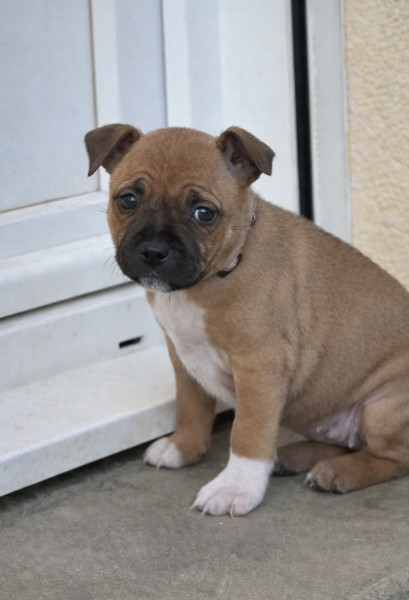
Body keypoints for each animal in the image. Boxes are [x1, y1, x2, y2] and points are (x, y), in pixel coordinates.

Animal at [85, 124, 409, 516]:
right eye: (128, 200)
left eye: (204, 213)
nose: (153, 252)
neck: (216, 275)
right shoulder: (183, 357)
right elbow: (190, 406)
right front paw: (183, 447)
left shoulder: (260, 366)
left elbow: (248, 433)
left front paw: (236, 487)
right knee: (347, 442)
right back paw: (295, 456)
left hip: (384, 407)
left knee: (393, 458)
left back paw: (338, 472)